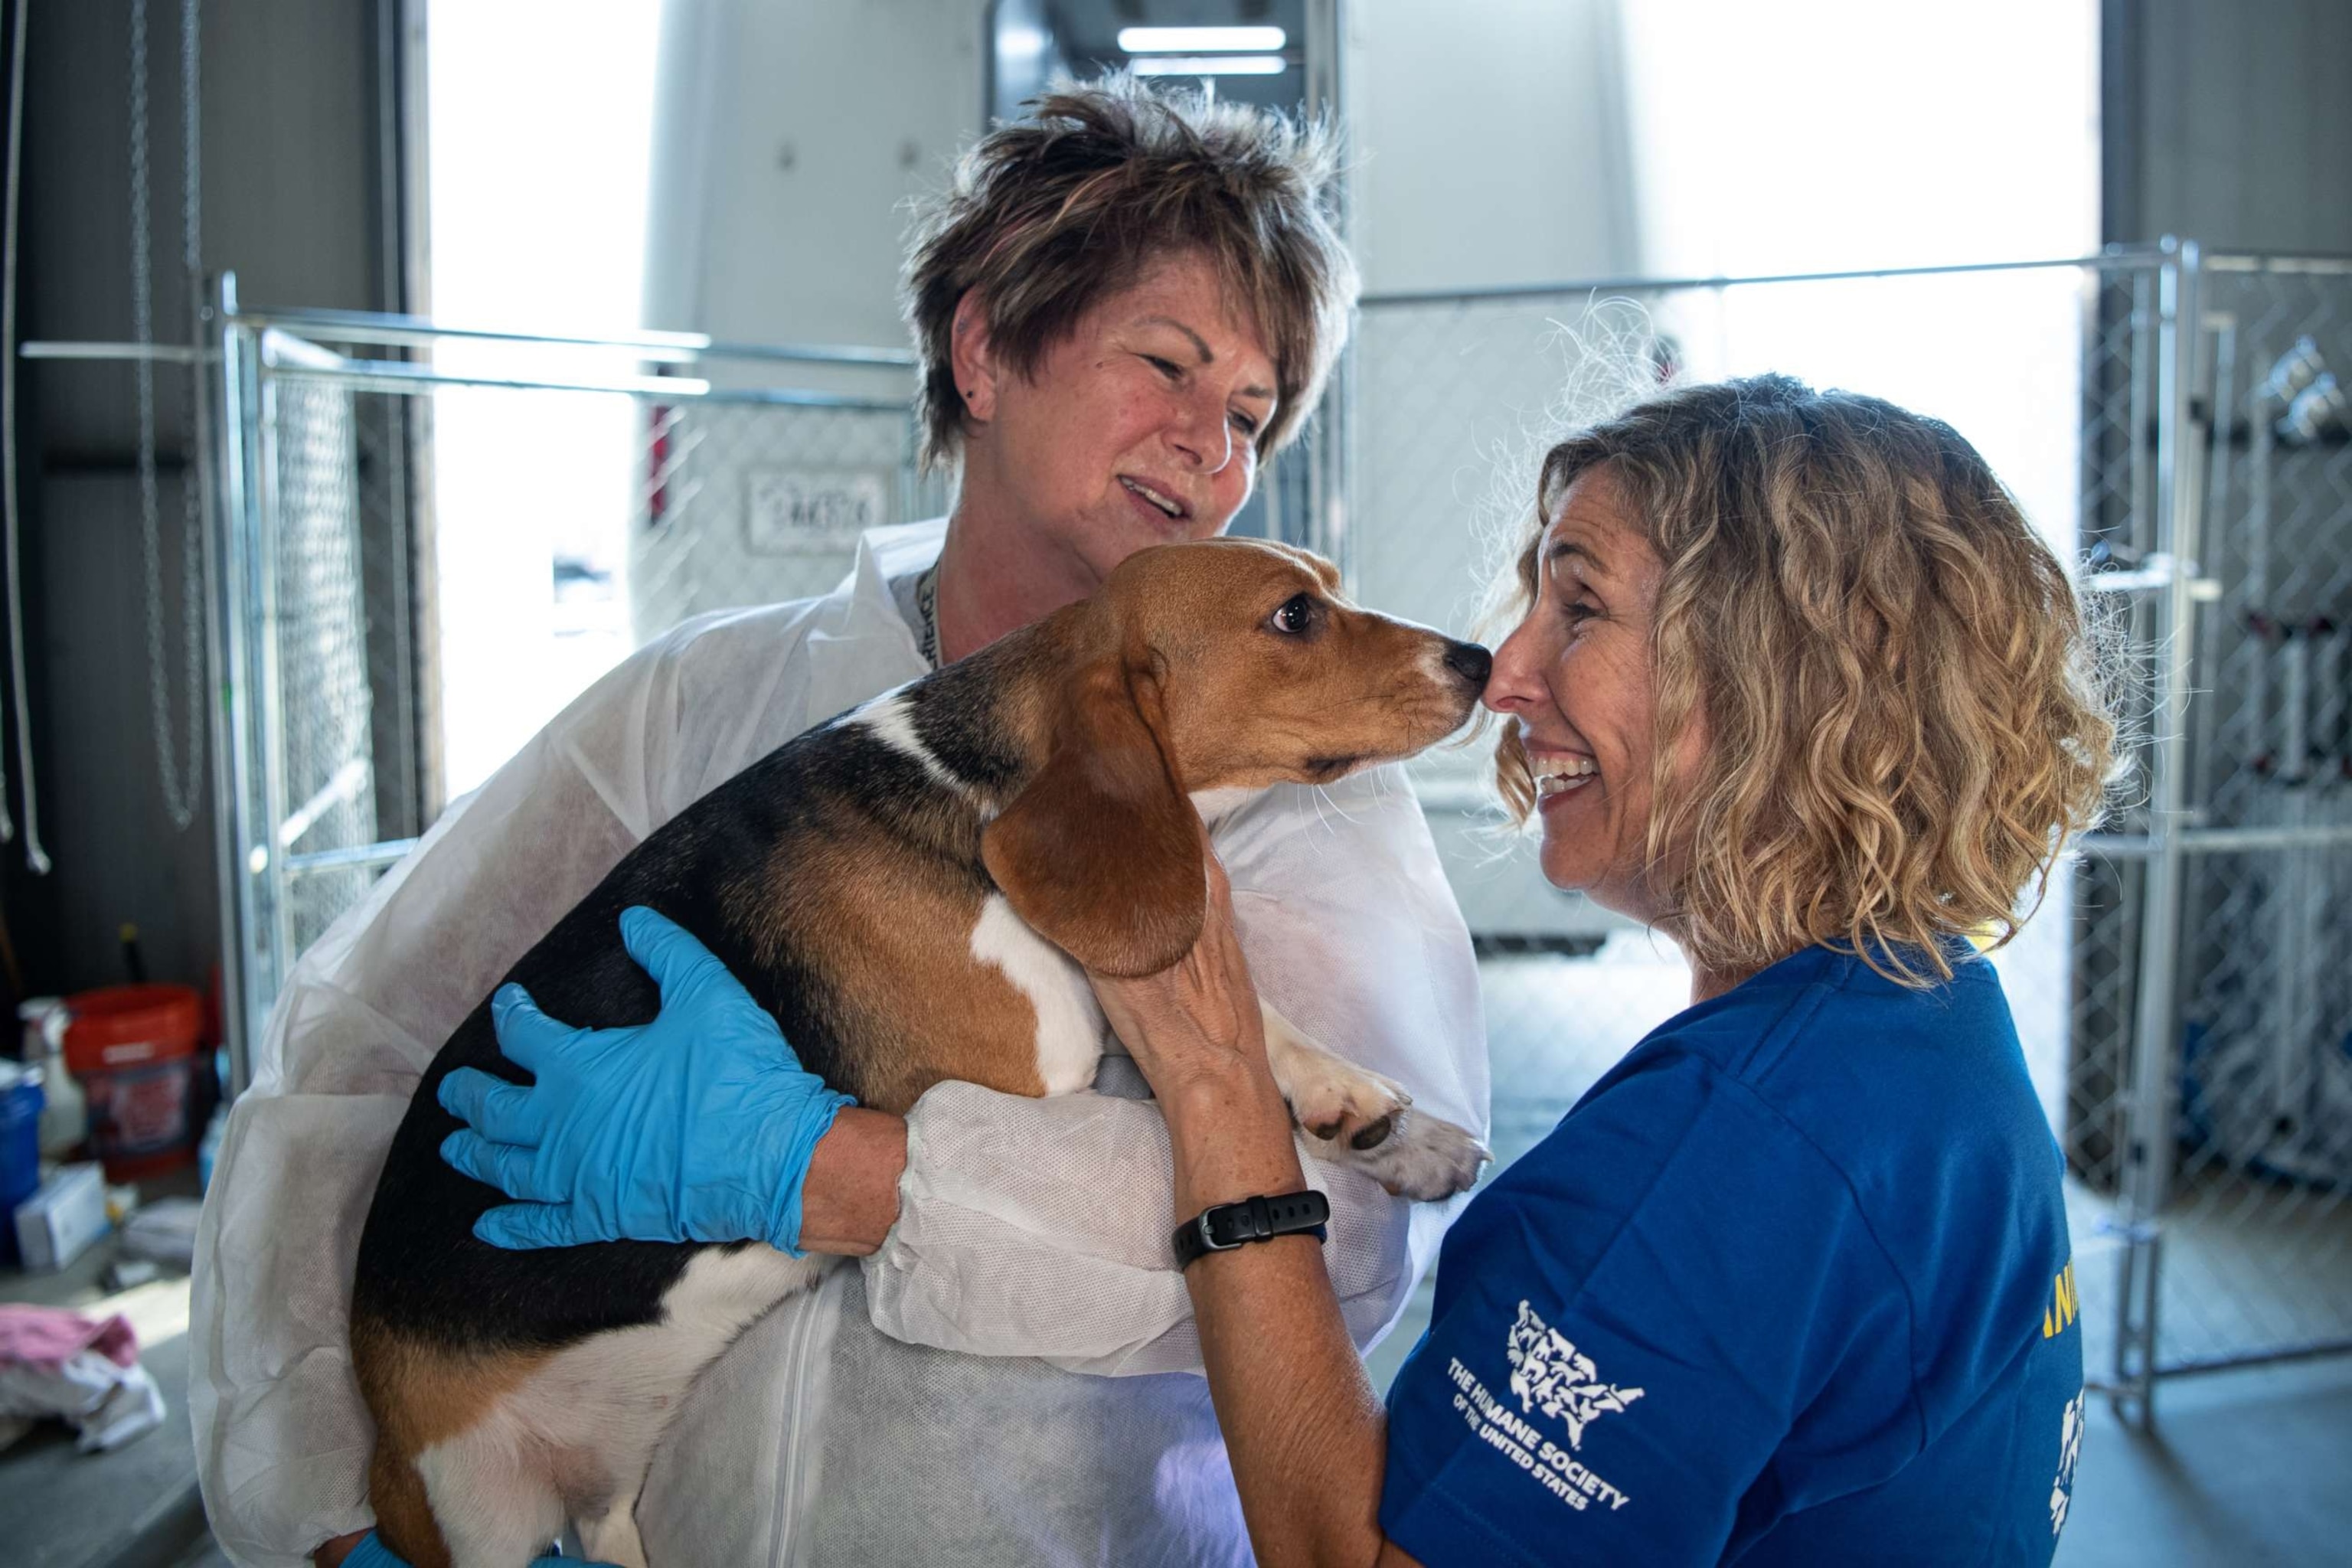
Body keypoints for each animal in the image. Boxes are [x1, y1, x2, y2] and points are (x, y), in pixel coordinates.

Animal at [348, 536, 1486, 1568]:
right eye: (1295, 614)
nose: (1476, 657)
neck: (975, 790)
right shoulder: (1035, 1071)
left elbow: (1253, 1035)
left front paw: (1384, 1121)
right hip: (475, 1517)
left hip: (604, 1512)